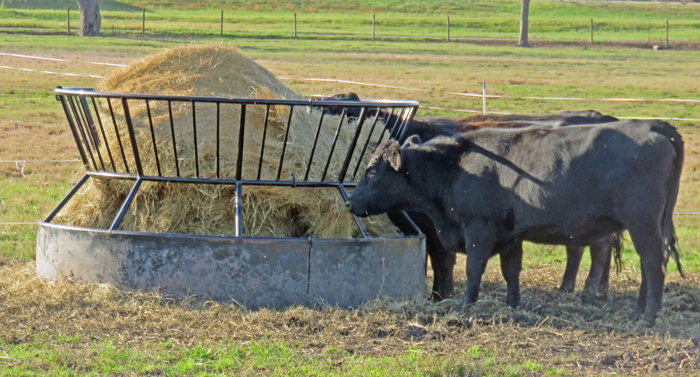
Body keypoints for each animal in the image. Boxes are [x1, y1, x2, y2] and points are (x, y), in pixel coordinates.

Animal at [350, 120, 684, 326]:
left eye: (372, 172)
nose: (350, 202)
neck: (456, 167)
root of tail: (651, 125)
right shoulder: (511, 236)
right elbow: (511, 271)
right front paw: (513, 304)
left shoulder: (478, 230)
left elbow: (473, 269)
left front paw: (467, 305)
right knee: (650, 264)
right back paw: (638, 311)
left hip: (642, 222)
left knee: (653, 263)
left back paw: (648, 316)